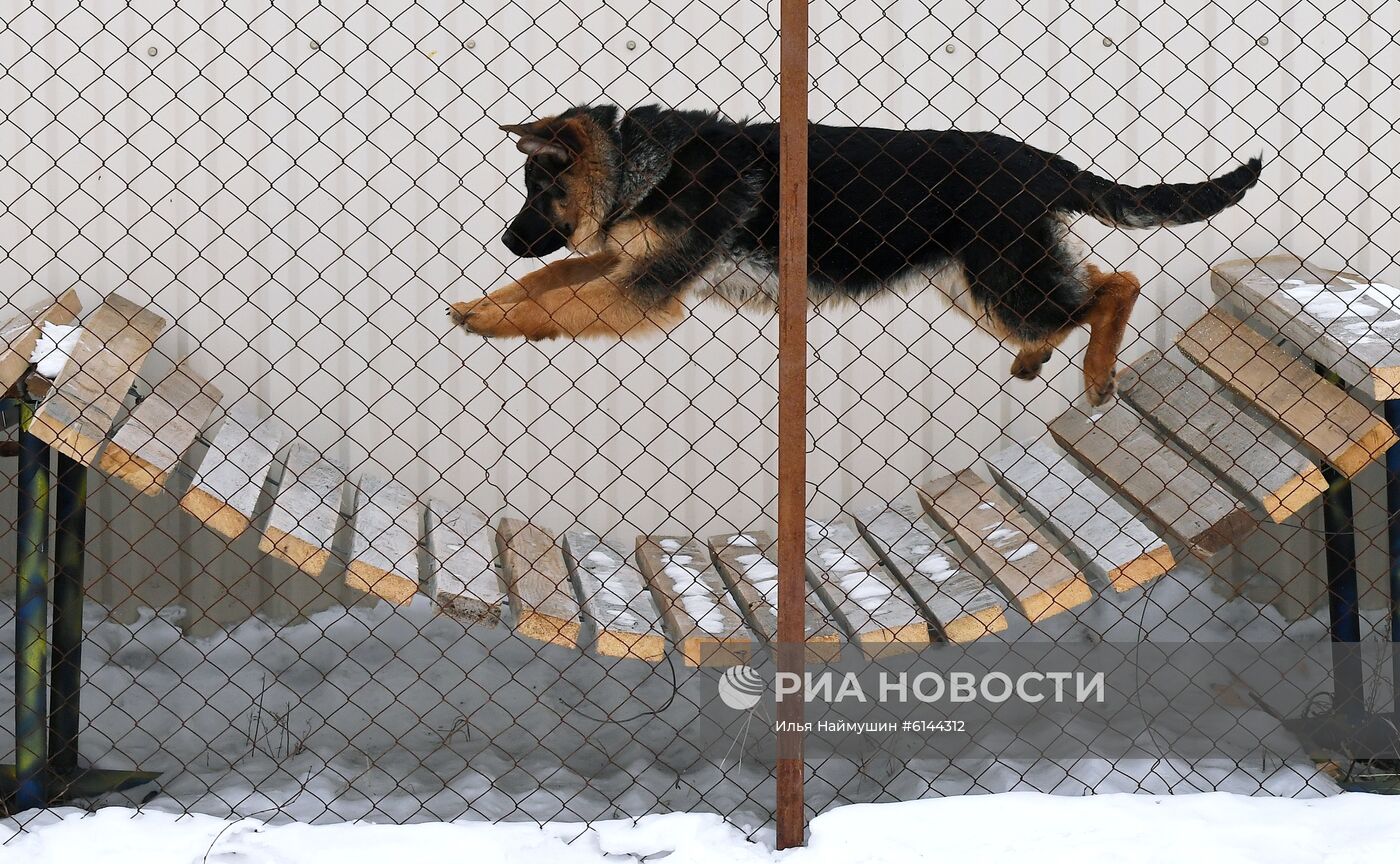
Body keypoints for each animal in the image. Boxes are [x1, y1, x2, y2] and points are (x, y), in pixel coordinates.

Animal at [453, 104, 1265, 403]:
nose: (505, 240)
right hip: (982, 284)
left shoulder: (644, 287)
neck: (639, 165)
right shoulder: (620, 266)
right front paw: (487, 305)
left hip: (1002, 281)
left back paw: (1095, 375)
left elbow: (561, 298)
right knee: (1089, 287)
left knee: (1117, 285)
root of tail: (1039, 161)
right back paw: (1039, 356)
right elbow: (553, 279)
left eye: (536, 192)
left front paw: (495, 323)